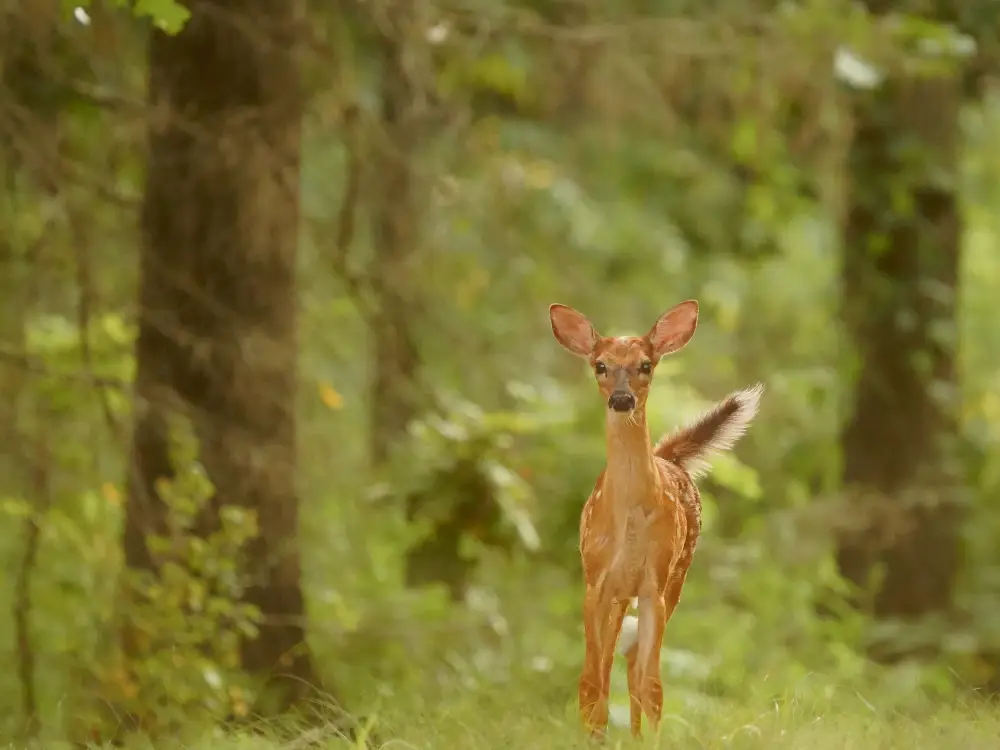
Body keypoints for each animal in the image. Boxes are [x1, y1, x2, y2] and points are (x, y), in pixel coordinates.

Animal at [548, 299, 763, 740]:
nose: (621, 399)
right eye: (600, 365)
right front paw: (593, 738)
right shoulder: (595, 580)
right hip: (619, 593)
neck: (628, 522)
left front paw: (649, 740)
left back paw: (633, 735)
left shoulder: (654, 583)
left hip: (677, 575)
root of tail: (668, 457)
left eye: (645, 364)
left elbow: (653, 685)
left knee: (634, 666)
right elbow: (591, 679)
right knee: (607, 667)